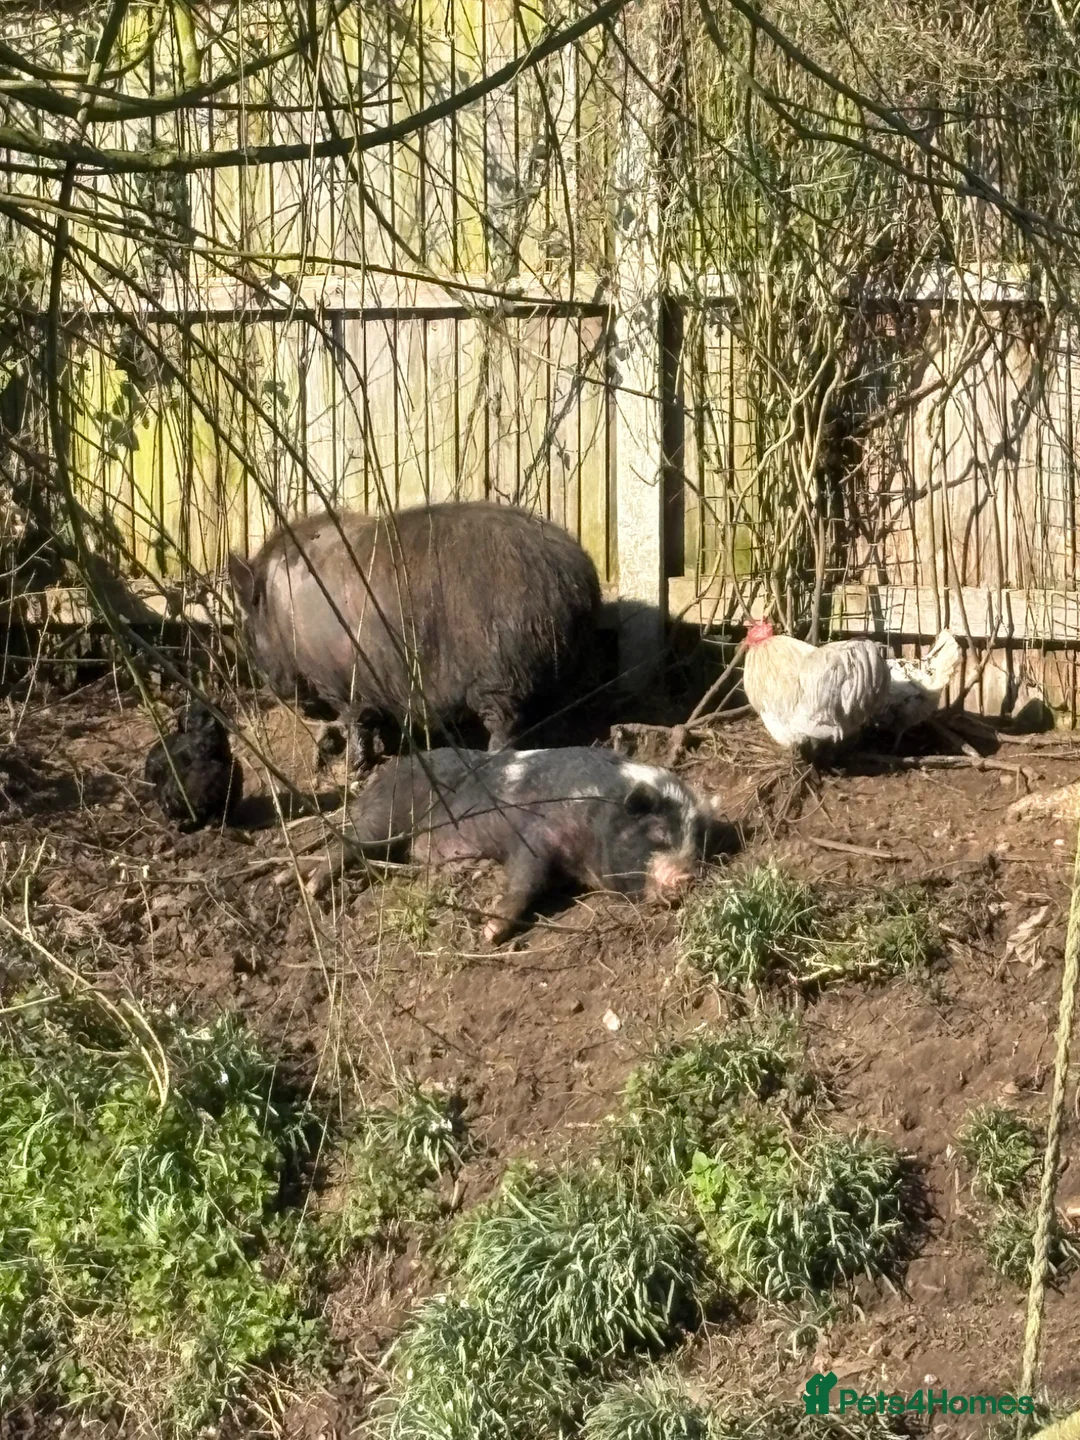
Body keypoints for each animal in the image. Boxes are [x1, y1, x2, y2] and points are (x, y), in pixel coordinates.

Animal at [228, 502, 602, 773]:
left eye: (250, 630)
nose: (279, 693)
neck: (282, 610)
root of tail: (578, 578)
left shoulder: (341, 681)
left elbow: (355, 721)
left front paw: (354, 768)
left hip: (502, 675)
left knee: (505, 725)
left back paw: (488, 759)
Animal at [288, 746, 728, 943]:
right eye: (659, 835)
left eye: (696, 845)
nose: (686, 877)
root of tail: (378, 778)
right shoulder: (536, 833)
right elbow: (524, 879)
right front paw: (489, 933)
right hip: (386, 816)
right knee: (348, 844)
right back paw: (310, 888)